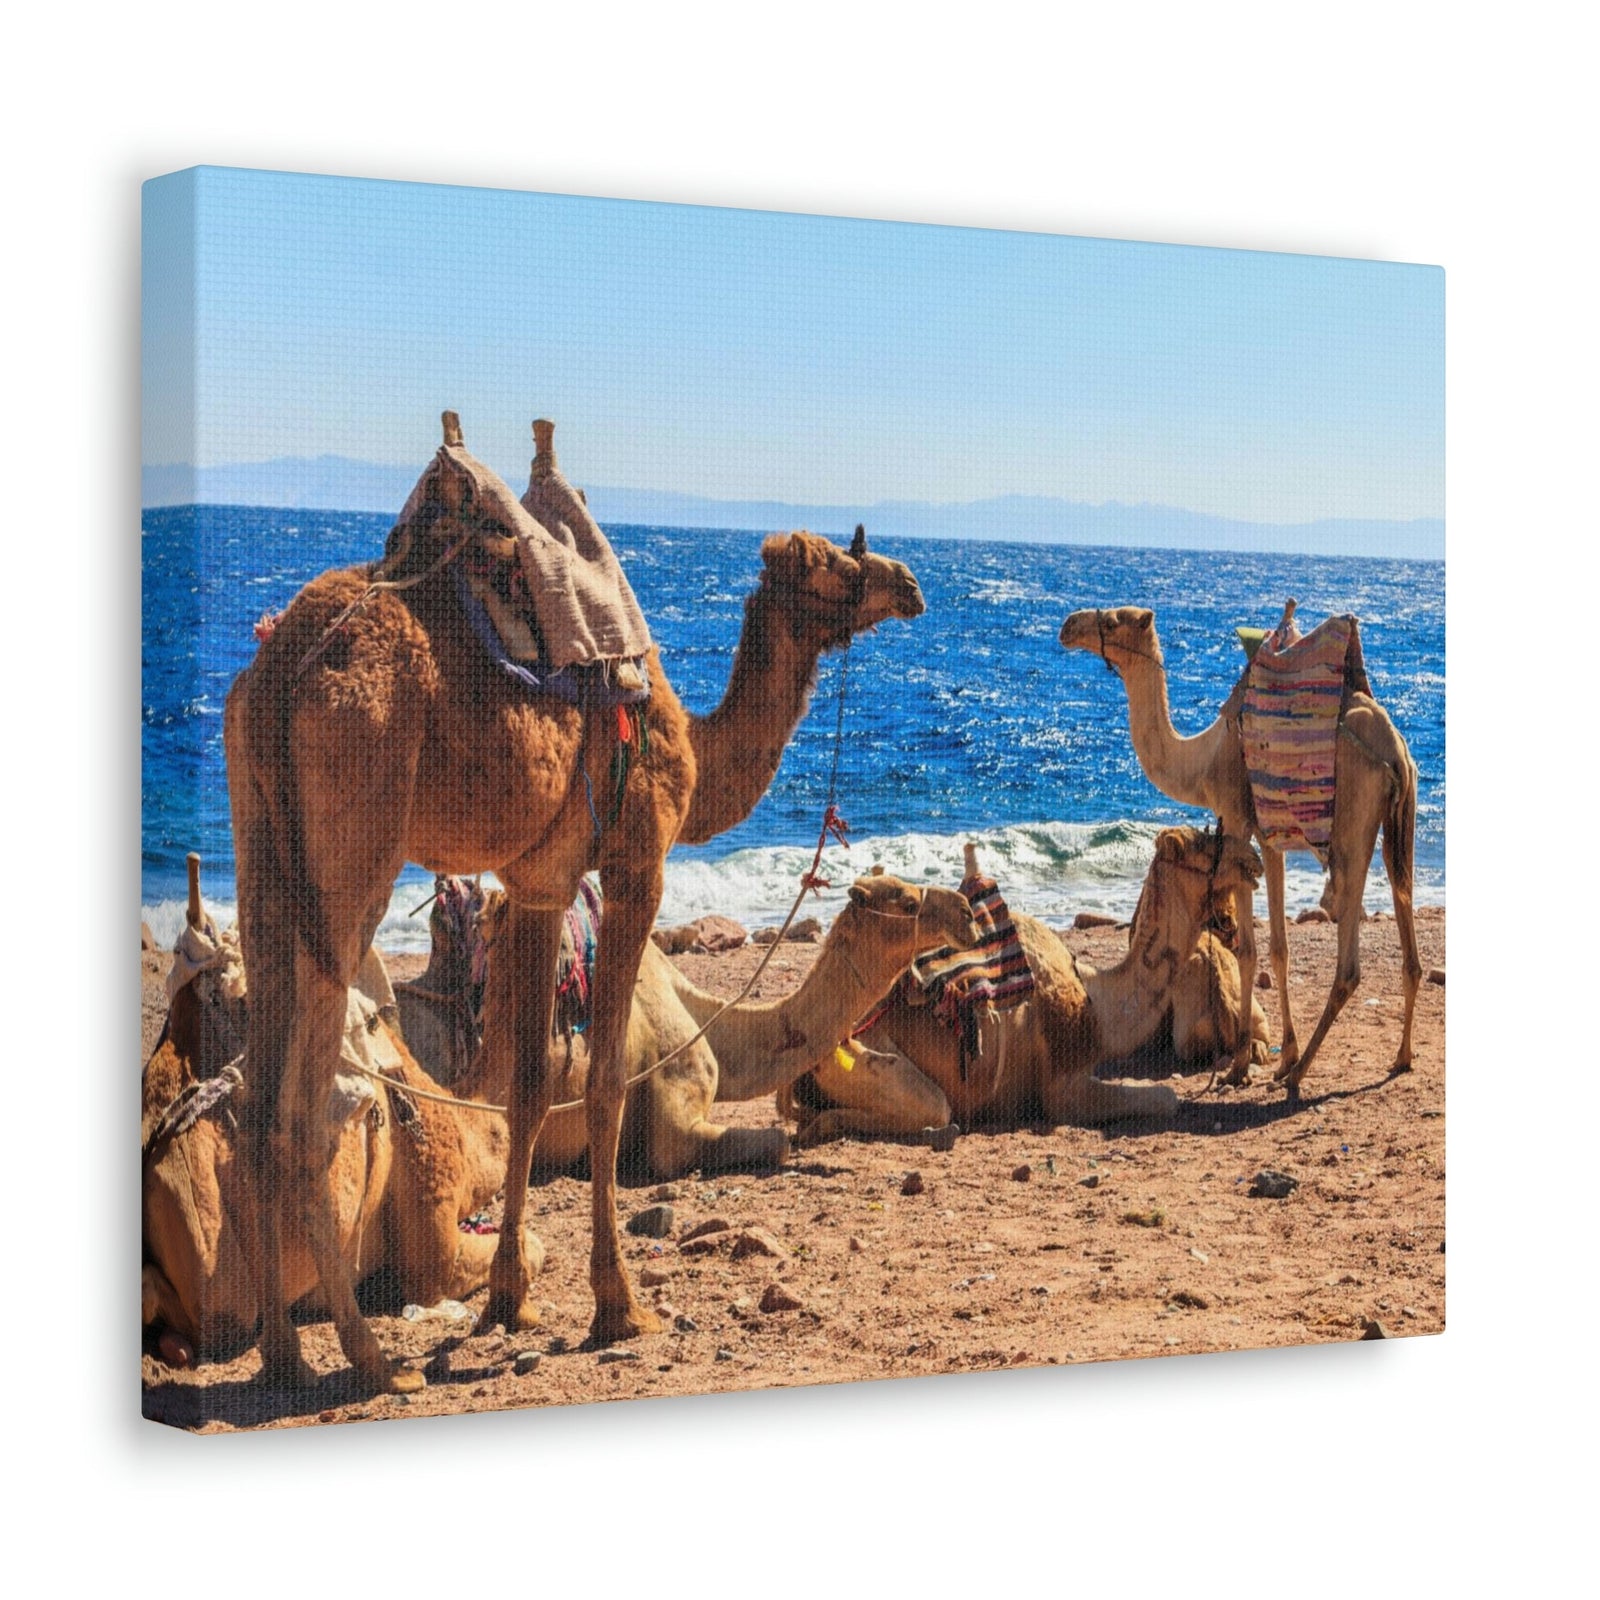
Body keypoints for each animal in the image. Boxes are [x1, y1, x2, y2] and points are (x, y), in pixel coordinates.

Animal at [223, 413, 923, 1391]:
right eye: (832, 562)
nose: (909, 583)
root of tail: (281, 669)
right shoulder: (637, 864)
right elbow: (599, 1091)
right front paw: (620, 1307)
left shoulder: (538, 884)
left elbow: (524, 1091)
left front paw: (510, 1301)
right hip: (351, 848)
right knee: (305, 1110)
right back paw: (371, 1359)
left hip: (260, 847)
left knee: (256, 1098)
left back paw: (286, 1356)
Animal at [779, 831, 1269, 1144]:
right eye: (1205, 843)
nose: (1254, 858)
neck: (1100, 1002)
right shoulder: (1062, 1089)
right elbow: (1166, 1097)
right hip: (858, 1056)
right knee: (931, 1107)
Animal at [1058, 606, 1422, 1097]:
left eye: (1115, 619)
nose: (1069, 626)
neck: (1200, 761)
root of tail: (1396, 748)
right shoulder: (1271, 838)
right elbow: (1280, 949)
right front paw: (1282, 1057)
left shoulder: (1237, 821)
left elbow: (1250, 949)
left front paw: (1241, 1067)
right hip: (1399, 822)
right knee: (1407, 920)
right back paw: (1400, 1058)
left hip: (1352, 821)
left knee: (1348, 958)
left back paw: (1300, 1077)